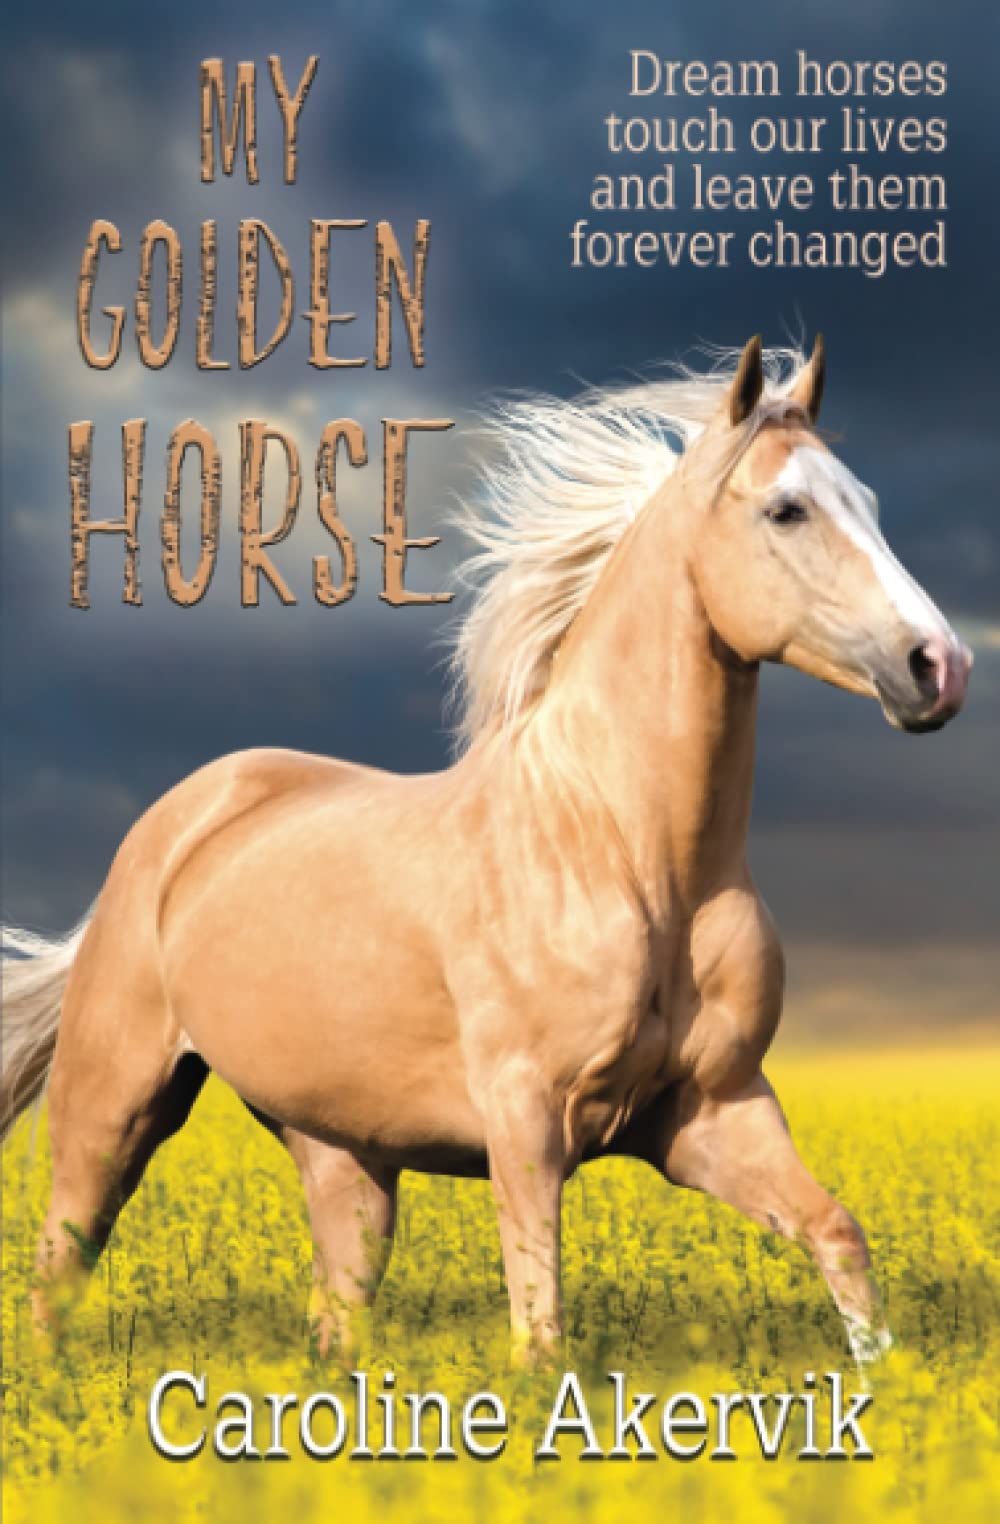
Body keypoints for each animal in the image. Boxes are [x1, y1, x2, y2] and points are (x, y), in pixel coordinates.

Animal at [1, 336, 972, 1367]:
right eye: (786, 509)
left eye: (868, 500)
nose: (940, 667)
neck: (625, 854)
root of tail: (177, 823)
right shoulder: (527, 1118)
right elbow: (540, 1331)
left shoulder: (713, 1112)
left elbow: (838, 1234)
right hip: (113, 1107)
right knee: (58, 1270)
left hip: (342, 1151)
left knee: (335, 1313)